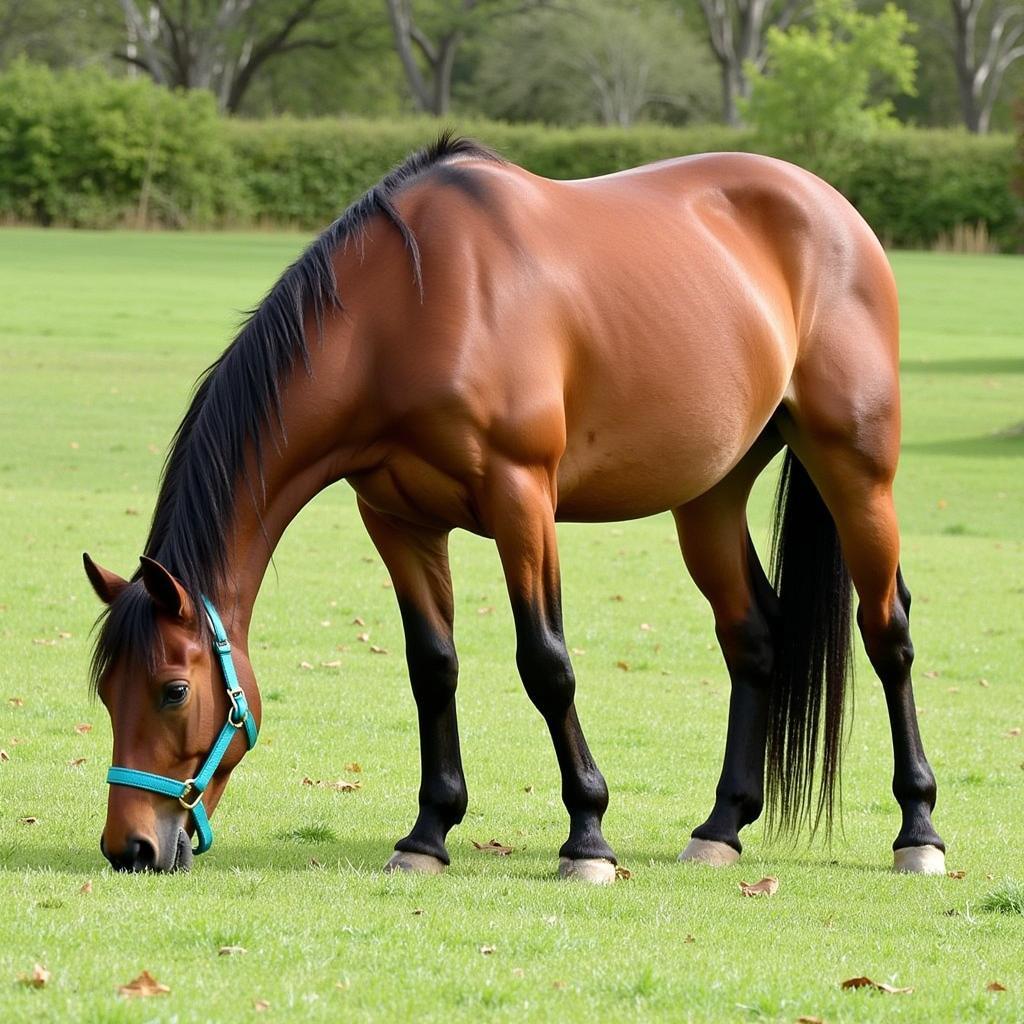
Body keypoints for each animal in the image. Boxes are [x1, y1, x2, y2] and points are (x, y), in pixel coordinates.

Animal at [83, 132, 946, 880]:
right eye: (104, 689)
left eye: (173, 690)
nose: (131, 847)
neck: (405, 311)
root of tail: (831, 208)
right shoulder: (397, 521)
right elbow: (432, 667)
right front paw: (428, 834)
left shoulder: (521, 499)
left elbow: (547, 664)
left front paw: (587, 837)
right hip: (709, 496)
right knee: (754, 637)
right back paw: (721, 828)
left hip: (856, 471)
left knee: (889, 632)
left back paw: (918, 830)